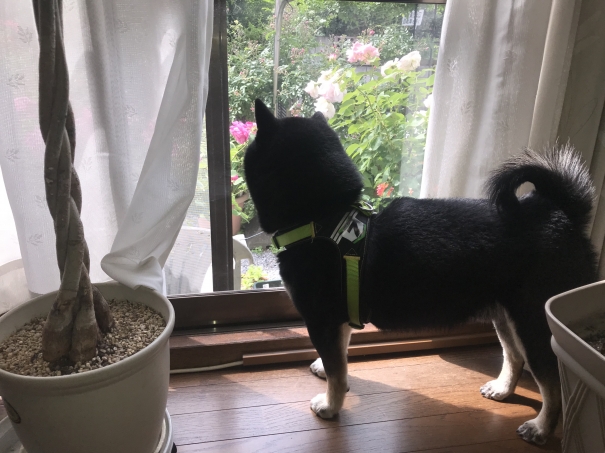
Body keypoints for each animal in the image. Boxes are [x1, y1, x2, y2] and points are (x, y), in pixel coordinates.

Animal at [243, 99, 598, 445]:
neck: (323, 218)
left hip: (535, 322)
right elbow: (339, 358)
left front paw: (331, 405)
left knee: (553, 385)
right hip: (507, 315)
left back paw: (541, 427)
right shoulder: (339, 316)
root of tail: (561, 214)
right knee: (514, 357)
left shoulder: (321, 320)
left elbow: (337, 371)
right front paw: (328, 373)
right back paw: (502, 389)